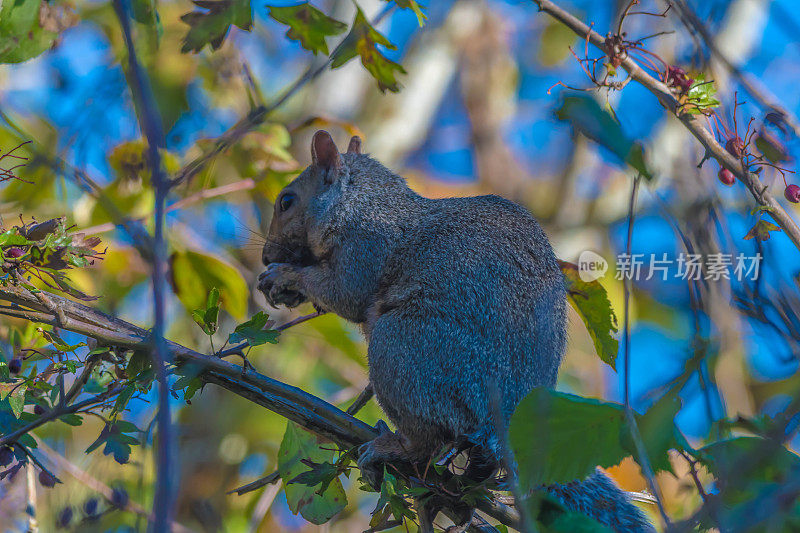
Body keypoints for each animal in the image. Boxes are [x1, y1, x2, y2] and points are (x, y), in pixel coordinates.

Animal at [260, 130, 652, 532]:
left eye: (286, 201)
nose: (264, 257)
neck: (364, 201)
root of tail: (505, 414)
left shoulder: (365, 246)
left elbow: (343, 291)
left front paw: (285, 276)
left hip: (401, 350)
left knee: (428, 438)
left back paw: (392, 449)